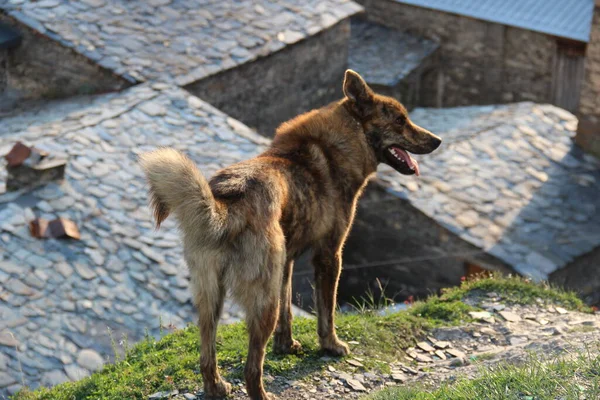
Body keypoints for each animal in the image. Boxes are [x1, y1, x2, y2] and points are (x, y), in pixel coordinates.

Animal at [141, 70, 440, 398]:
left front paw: (286, 346)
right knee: (251, 367)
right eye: (400, 120)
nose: (437, 140)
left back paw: (216, 386)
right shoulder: (329, 255)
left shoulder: (287, 263)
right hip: (262, 301)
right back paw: (261, 392)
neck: (336, 146)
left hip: (211, 298)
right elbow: (326, 311)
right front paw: (331, 345)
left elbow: (288, 311)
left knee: (207, 355)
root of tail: (226, 205)